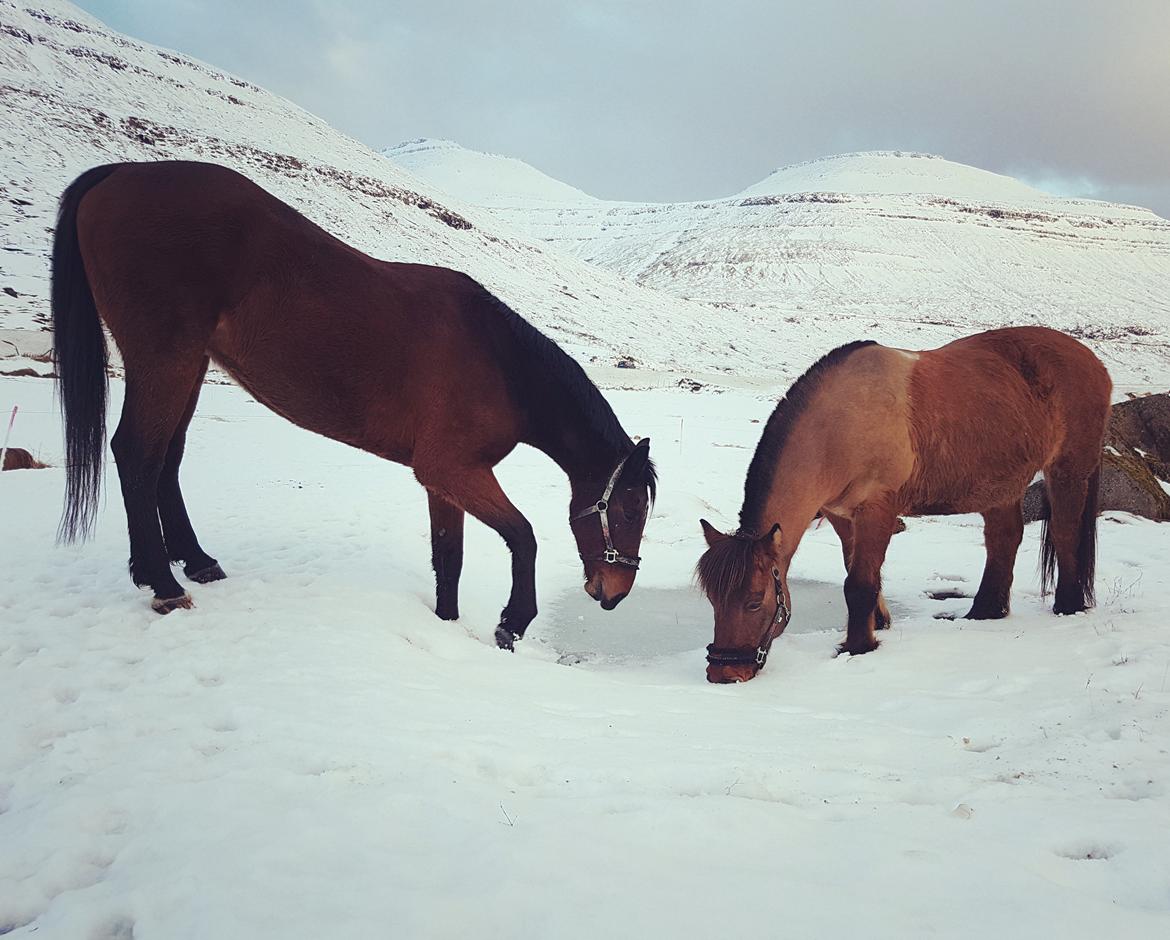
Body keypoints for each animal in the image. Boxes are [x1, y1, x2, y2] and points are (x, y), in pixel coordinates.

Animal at [52, 161, 659, 650]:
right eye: (630, 511)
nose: (615, 592)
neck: (500, 362)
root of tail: (121, 173)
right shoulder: (454, 469)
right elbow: (523, 535)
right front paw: (512, 622)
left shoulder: (444, 481)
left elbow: (449, 560)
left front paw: (445, 626)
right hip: (165, 357)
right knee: (137, 454)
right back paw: (163, 583)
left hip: (190, 365)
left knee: (167, 459)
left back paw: (197, 562)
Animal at [697, 330, 1109, 683]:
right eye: (712, 600)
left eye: (754, 602)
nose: (724, 672)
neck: (840, 423)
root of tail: (1093, 362)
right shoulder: (841, 515)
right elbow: (857, 570)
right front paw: (877, 623)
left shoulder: (877, 510)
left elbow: (859, 583)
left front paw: (858, 646)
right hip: (1000, 487)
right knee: (1003, 540)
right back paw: (985, 612)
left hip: (1067, 472)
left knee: (1065, 533)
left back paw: (1067, 606)